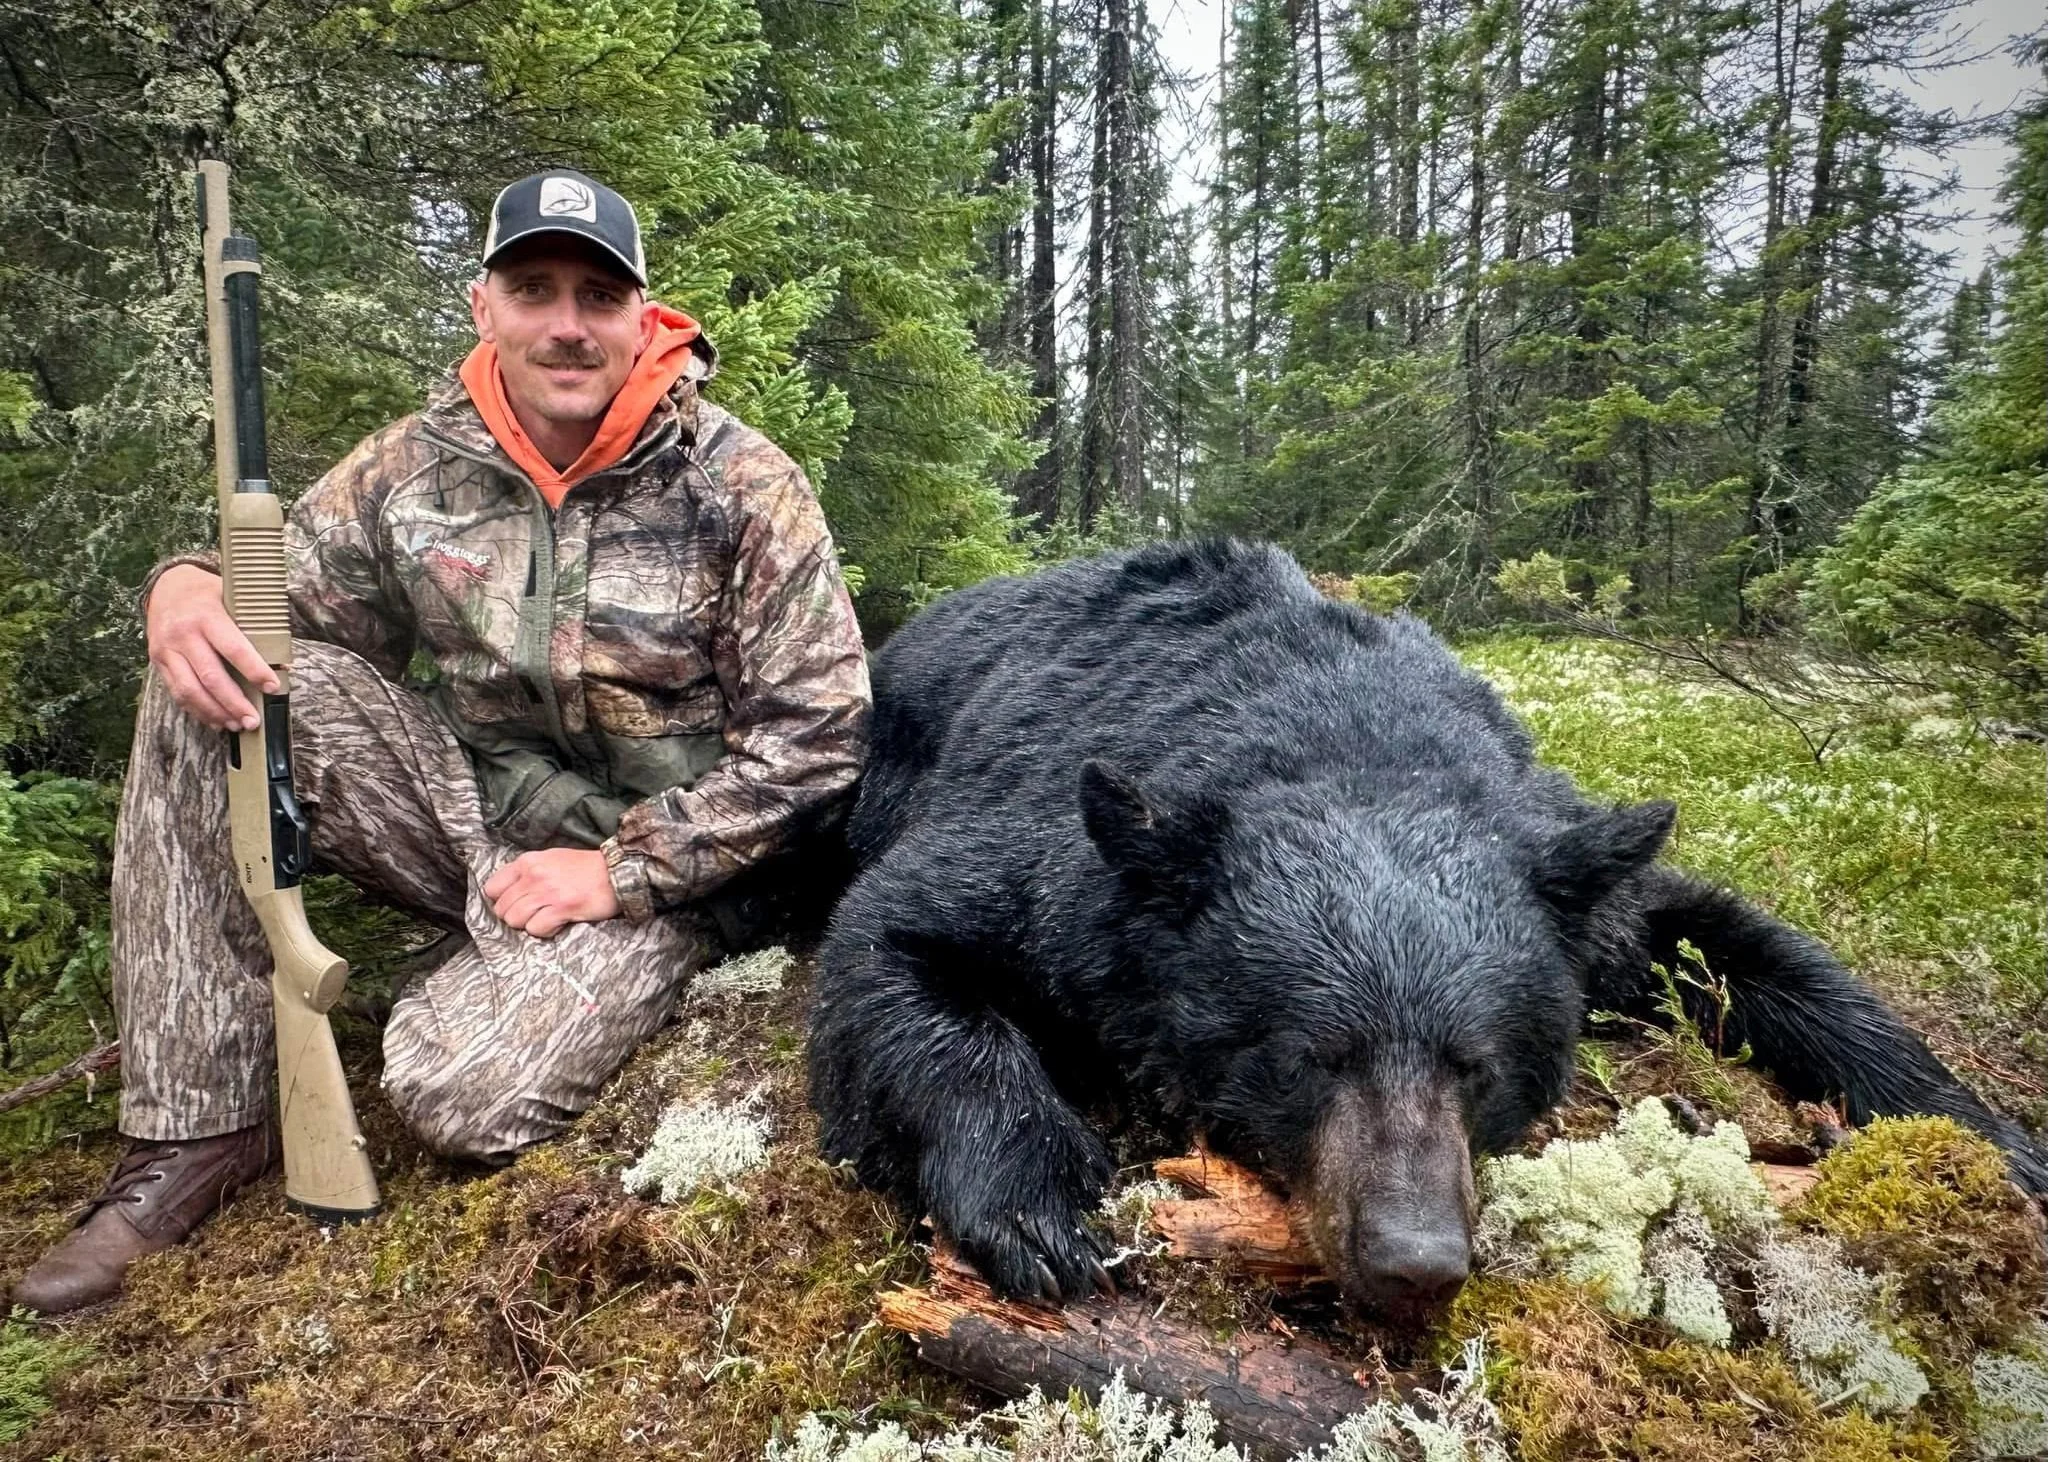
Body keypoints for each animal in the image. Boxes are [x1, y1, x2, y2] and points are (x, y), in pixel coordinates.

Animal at [807, 539, 2048, 1317]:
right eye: (1306, 1057)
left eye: (1476, 1064)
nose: (1411, 1259)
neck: (1344, 736)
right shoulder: (1051, 861)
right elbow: (888, 942)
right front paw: (1033, 1207)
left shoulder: (1570, 871)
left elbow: (1738, 945)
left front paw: (1987, 1138)